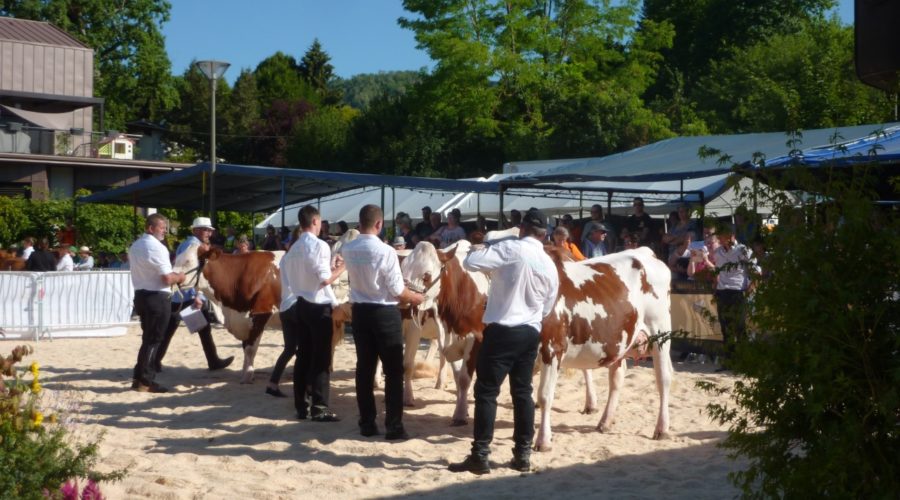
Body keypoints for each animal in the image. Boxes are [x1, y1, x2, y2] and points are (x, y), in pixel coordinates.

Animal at [171, 245, 278, 382]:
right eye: (177, 258)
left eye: (188, 261)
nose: (170, 276)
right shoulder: (243, 320)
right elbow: (245, 347)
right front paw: (244, 372)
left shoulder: (261, 313)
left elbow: (250, 349)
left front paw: (247, 376)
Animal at [532, 247, 672, 454]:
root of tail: (644, 251)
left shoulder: (552, 348)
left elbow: (544, 396)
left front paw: (543, 441)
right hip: (620, 340)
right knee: (617, 377)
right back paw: (605, 421)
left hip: (660, 332)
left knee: (663, 379)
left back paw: (662, 429)